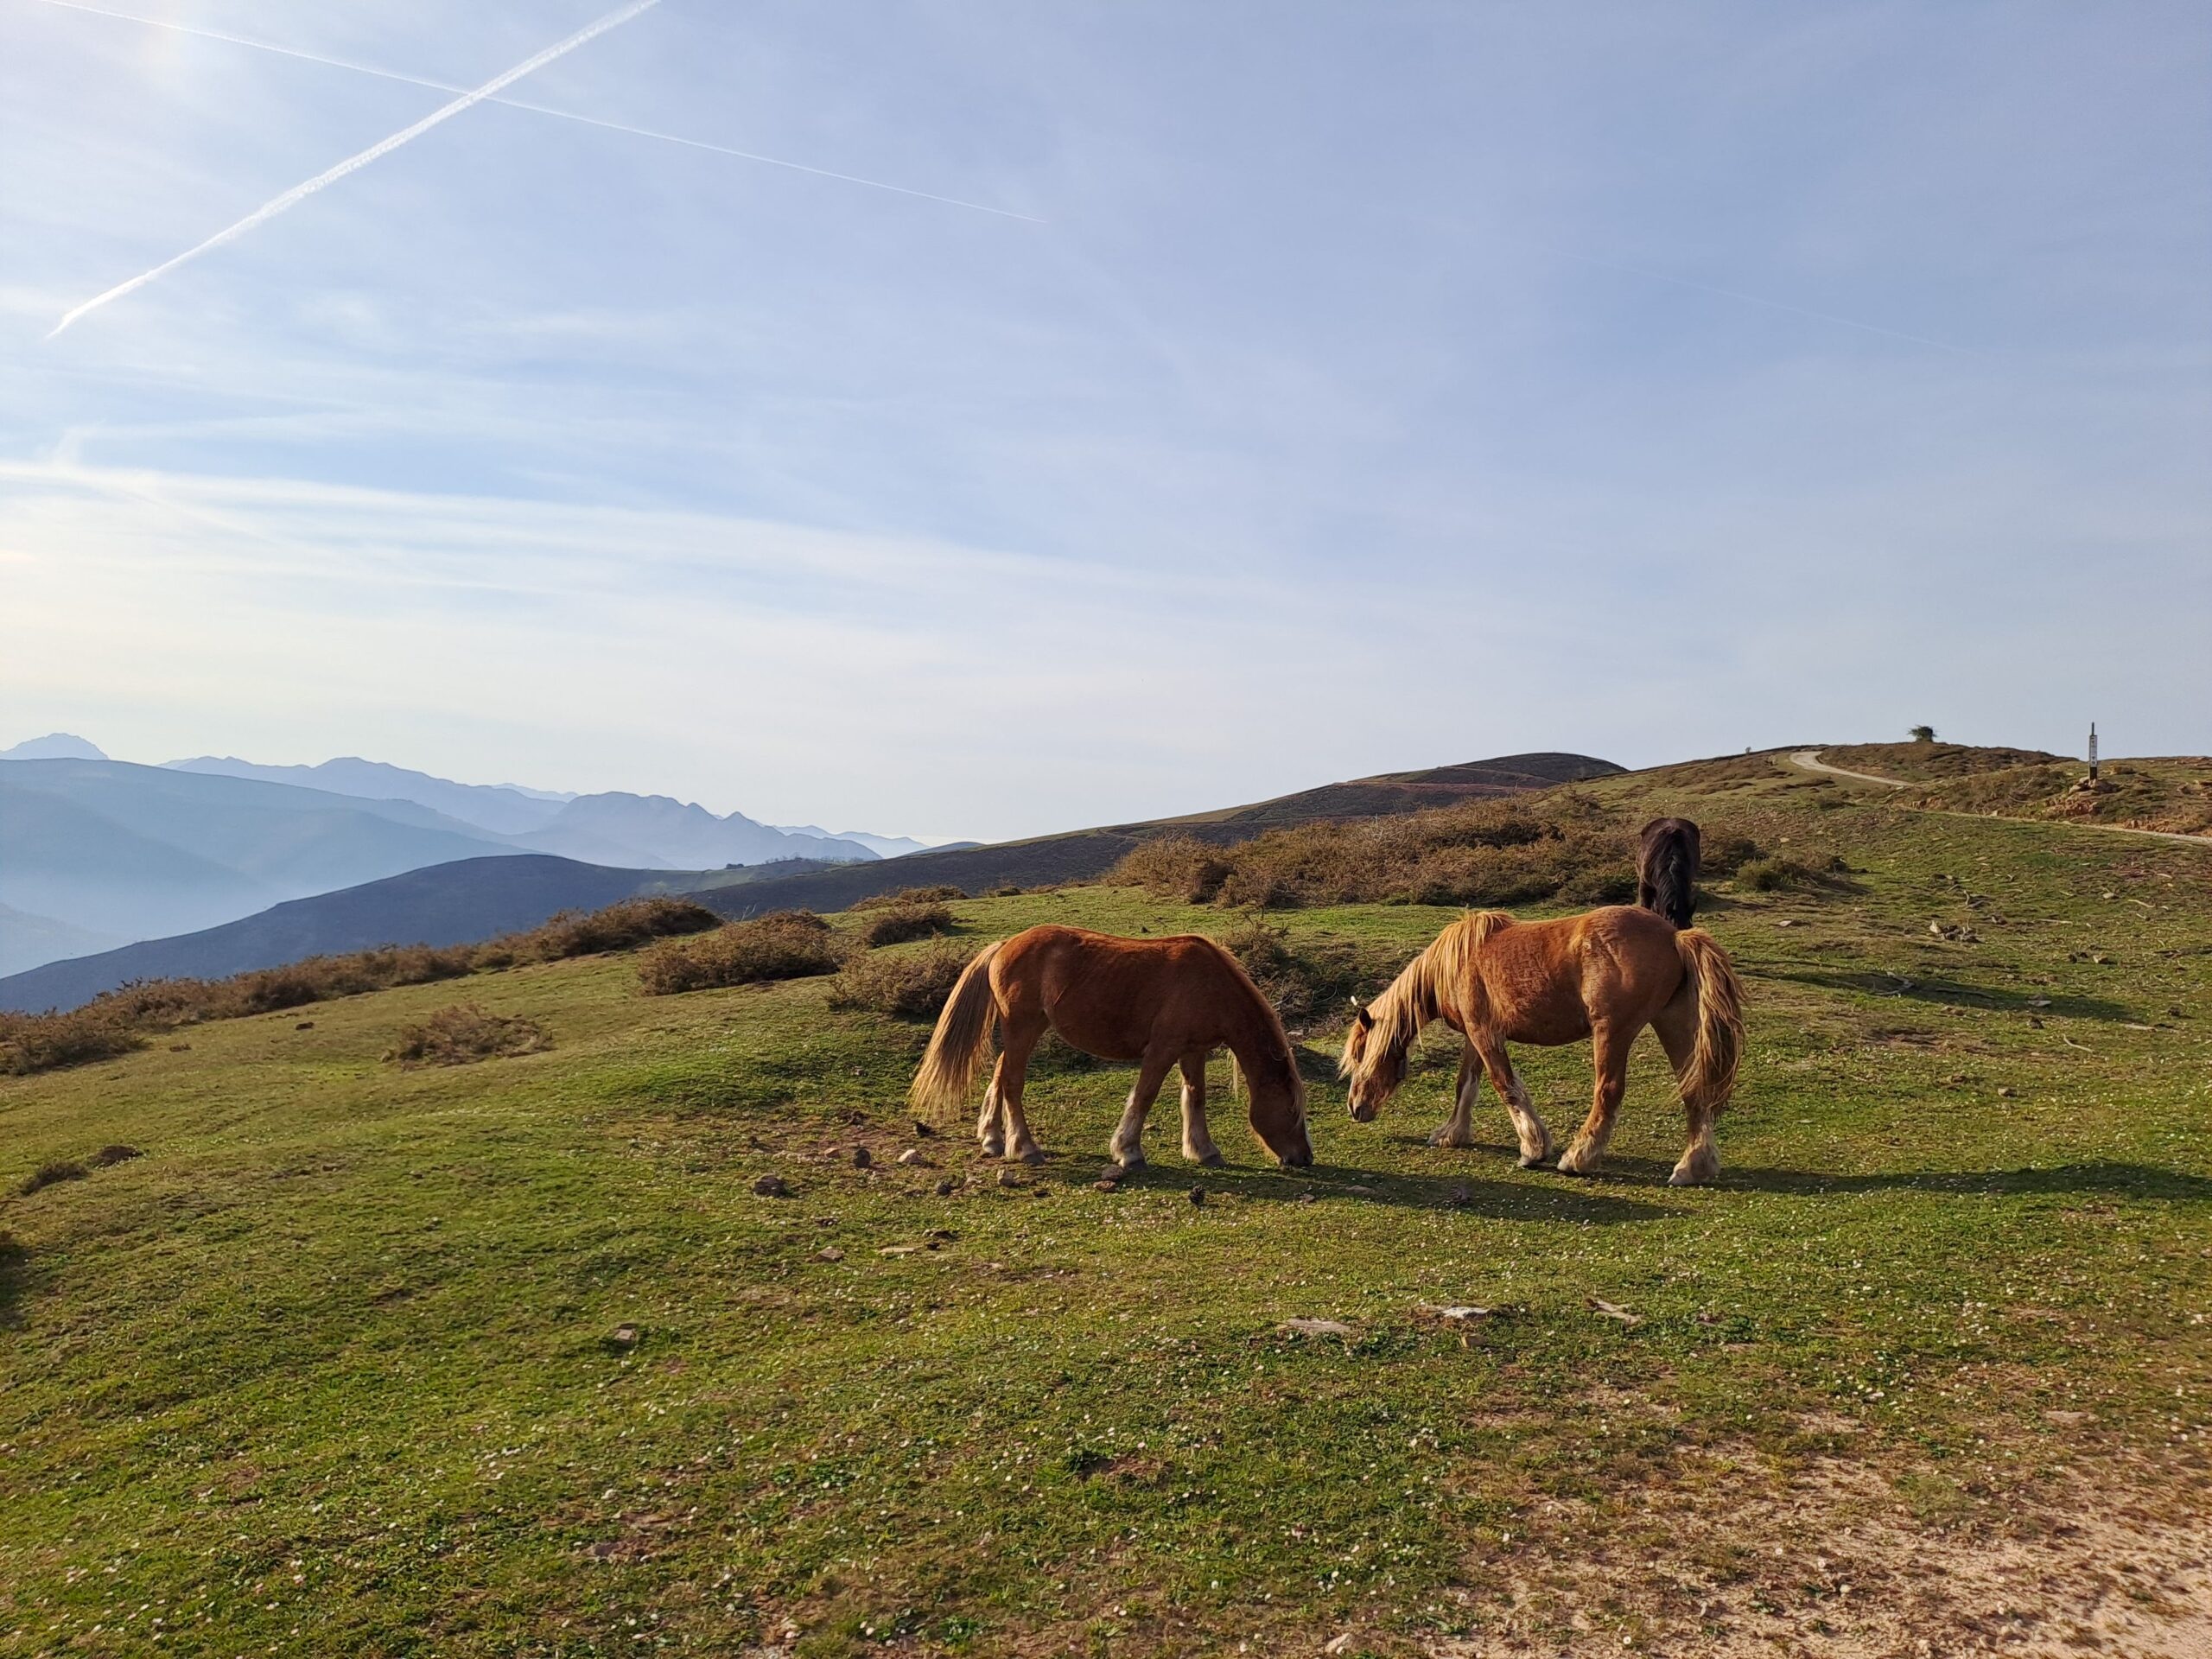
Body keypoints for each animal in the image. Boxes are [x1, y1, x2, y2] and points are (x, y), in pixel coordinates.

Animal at [910, 925, 1313, 1170]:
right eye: (1292, 1110)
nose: (1305, 1158)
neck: (1210, 985)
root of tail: (1005, 945)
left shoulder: (1193, 1050)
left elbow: (1195, 1096)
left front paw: (1204, 1150)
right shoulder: (1163, 1048)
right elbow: (1144, 1096)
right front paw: (1128, 1151)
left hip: (1024, 1030)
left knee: (999, 1074)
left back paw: (992, 1138)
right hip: (1022, 1027)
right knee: (1012, 1083)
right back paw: (1024, 1147)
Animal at [1340, 905, 1744, 1184]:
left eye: (1360, 1056)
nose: (1355, 1108)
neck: (1456, 964)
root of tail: (1675, 937)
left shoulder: (1486, 1033)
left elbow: (1505, 1086)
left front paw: (1533, 1150)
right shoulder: (1474, 1036)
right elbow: (1466, 1085)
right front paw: (1452, 1134)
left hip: (1613, 1033)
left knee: (1608, 1092)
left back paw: (1578, 1158)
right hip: (1673, 1025)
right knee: (1693, 1091)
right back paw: (1693, 1167)